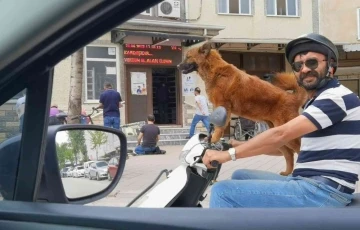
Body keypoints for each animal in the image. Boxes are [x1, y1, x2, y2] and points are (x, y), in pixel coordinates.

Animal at [177, 43, 306, 175]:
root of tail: (292, 98)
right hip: (278, 135)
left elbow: (219, 128)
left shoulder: (223, 106)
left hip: (290, 135)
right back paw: (287, 172)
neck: (215, 71)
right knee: (289, 154)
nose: (177, 66)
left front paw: (213, 139)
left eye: (188, 57)